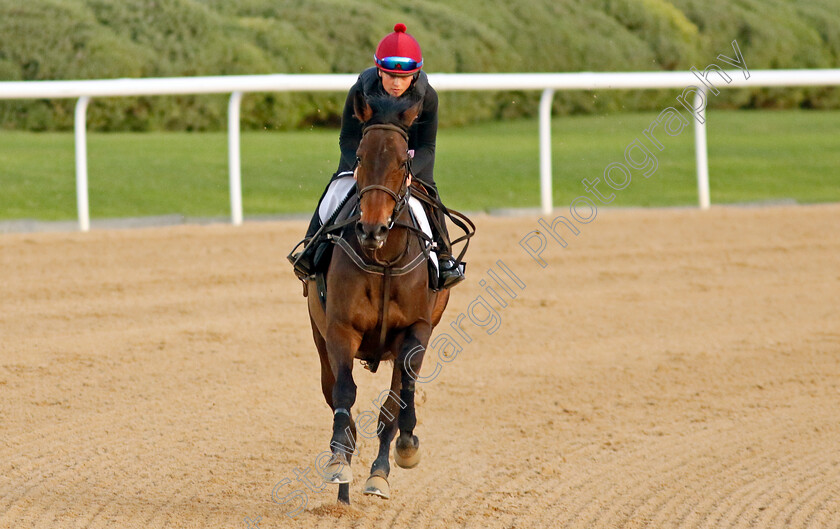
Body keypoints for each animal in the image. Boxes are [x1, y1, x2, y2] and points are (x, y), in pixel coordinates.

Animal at [306, 93, 452, 506]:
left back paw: (379, 472)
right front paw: (338, 463)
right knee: (335, 394)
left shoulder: (417, 330)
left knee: (392, 400)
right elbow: (344, 393)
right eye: (359, 156)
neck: (383, 257)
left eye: (403, 161)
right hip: (319, 337)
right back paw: (343, 487)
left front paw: (403, 449)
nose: (372, 228)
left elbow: (398, 401)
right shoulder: (340, 328)